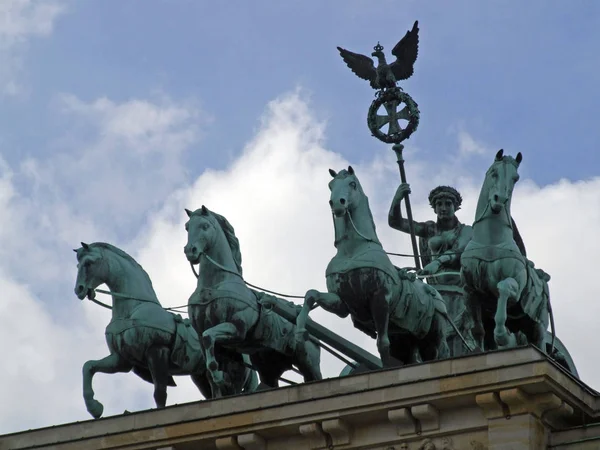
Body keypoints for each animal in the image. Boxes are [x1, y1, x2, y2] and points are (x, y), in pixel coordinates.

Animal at [462, 151, 556, 352]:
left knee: (539, 341)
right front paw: (479, 350)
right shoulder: (470, 291)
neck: (491, 242)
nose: (500, 200)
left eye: (515, 178)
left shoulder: (515, 289)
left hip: (537, 323)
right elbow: (478, 330)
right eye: (494, 172)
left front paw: (502, 336)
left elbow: (503, 289)